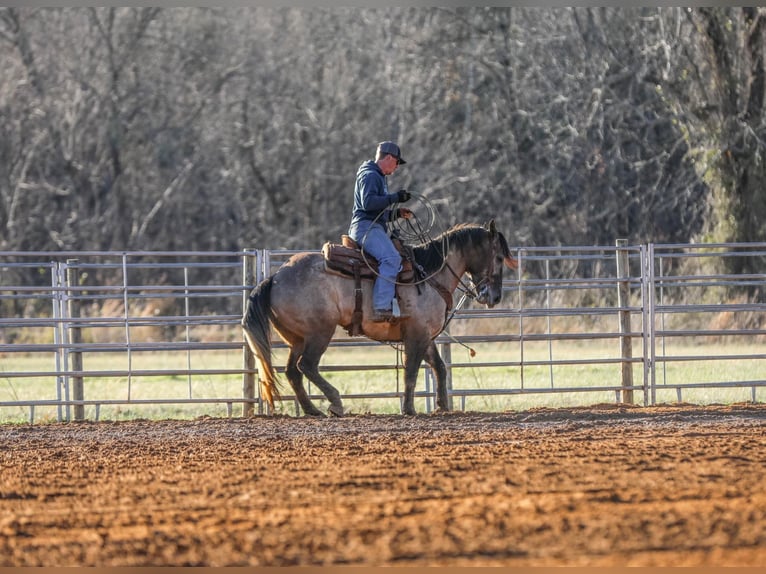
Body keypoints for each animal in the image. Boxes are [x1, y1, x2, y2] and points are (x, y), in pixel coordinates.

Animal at [242, 218, 516, 416]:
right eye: (499, 257)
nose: (494, 297)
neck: (429, 274)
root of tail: (274, 278)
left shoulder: (425, 336)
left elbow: (438, 367)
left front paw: (442, 406)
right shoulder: (416, 334)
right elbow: (411, 371)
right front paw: (409, 409)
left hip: (297, 339)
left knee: (293, 372)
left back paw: (312, 410)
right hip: (319, 333)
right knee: (306, 366)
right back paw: (335, 402)